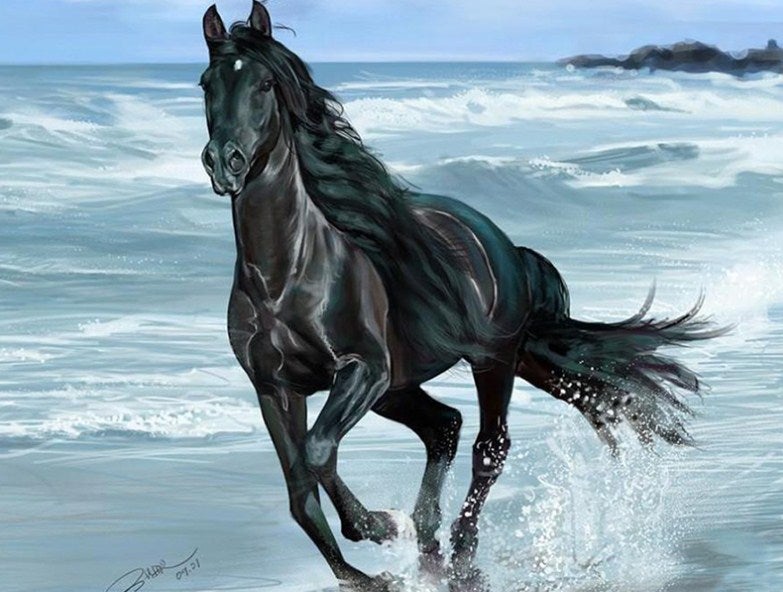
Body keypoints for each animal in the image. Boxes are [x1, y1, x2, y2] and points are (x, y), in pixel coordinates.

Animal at [199, 3, 724, 591]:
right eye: (206, 84)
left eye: (265, 83)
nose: (225, 161)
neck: (285, 277)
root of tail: (505, 246)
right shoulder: (274, 387)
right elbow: (298, 489)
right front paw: (366, 572)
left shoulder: (363, 370)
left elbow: (316, 452)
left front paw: (377, 525)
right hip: (402, 386)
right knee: (444, 427)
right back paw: (427, 548)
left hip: (488, 361)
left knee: (487, 447)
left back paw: (460, 557)